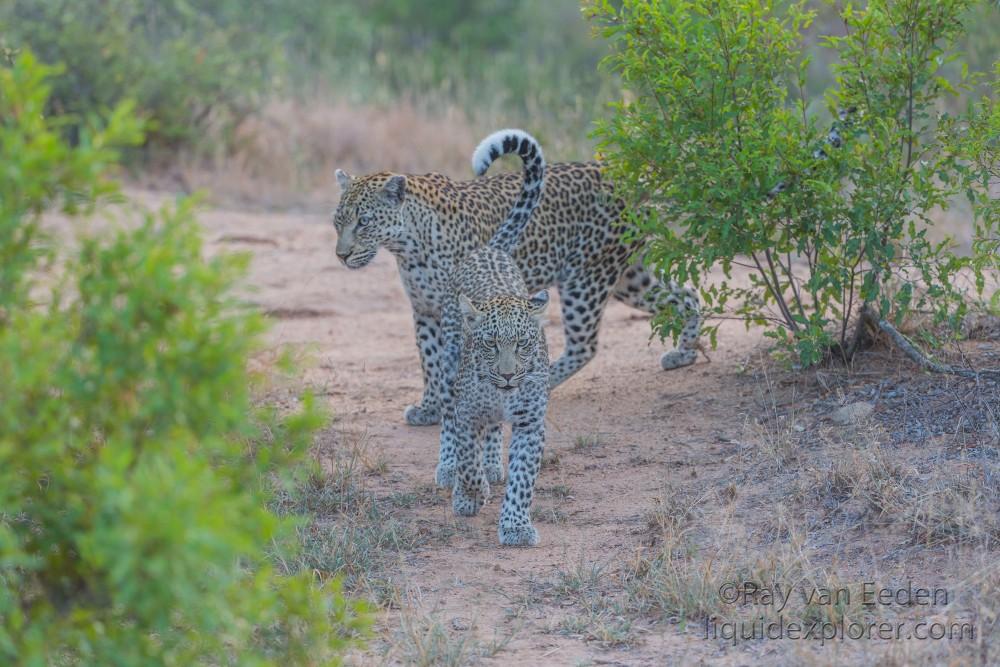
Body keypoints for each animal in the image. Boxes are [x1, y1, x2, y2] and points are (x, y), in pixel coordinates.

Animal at [332, 130, 700, 426]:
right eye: (338, 221)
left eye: (364, 222)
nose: (342, 255)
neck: (408, 246)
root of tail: (627, 178)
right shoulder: (424, 311)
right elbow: (430, 362)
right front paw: (429, 409)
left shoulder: (458, 311)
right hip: (628, 276)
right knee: (685, 295)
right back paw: (684, 354)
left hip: (586, 277)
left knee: (584, 344)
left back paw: (541, 382)